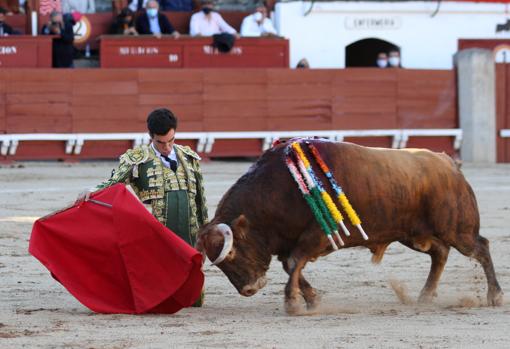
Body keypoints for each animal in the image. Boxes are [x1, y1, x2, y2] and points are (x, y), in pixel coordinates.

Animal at [197, 140, 504, 314]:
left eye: (232, 253)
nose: (249, 289)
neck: (277, 189)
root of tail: (448, 163)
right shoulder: (290, 242)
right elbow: (291, 266)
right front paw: (312, 300)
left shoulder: (317, 236)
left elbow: (294, 263)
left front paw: (293, 303)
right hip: (414, 235)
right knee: (440, 254)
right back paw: (425, 296)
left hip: (458, 230)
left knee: (481, 247)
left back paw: (495, 296)